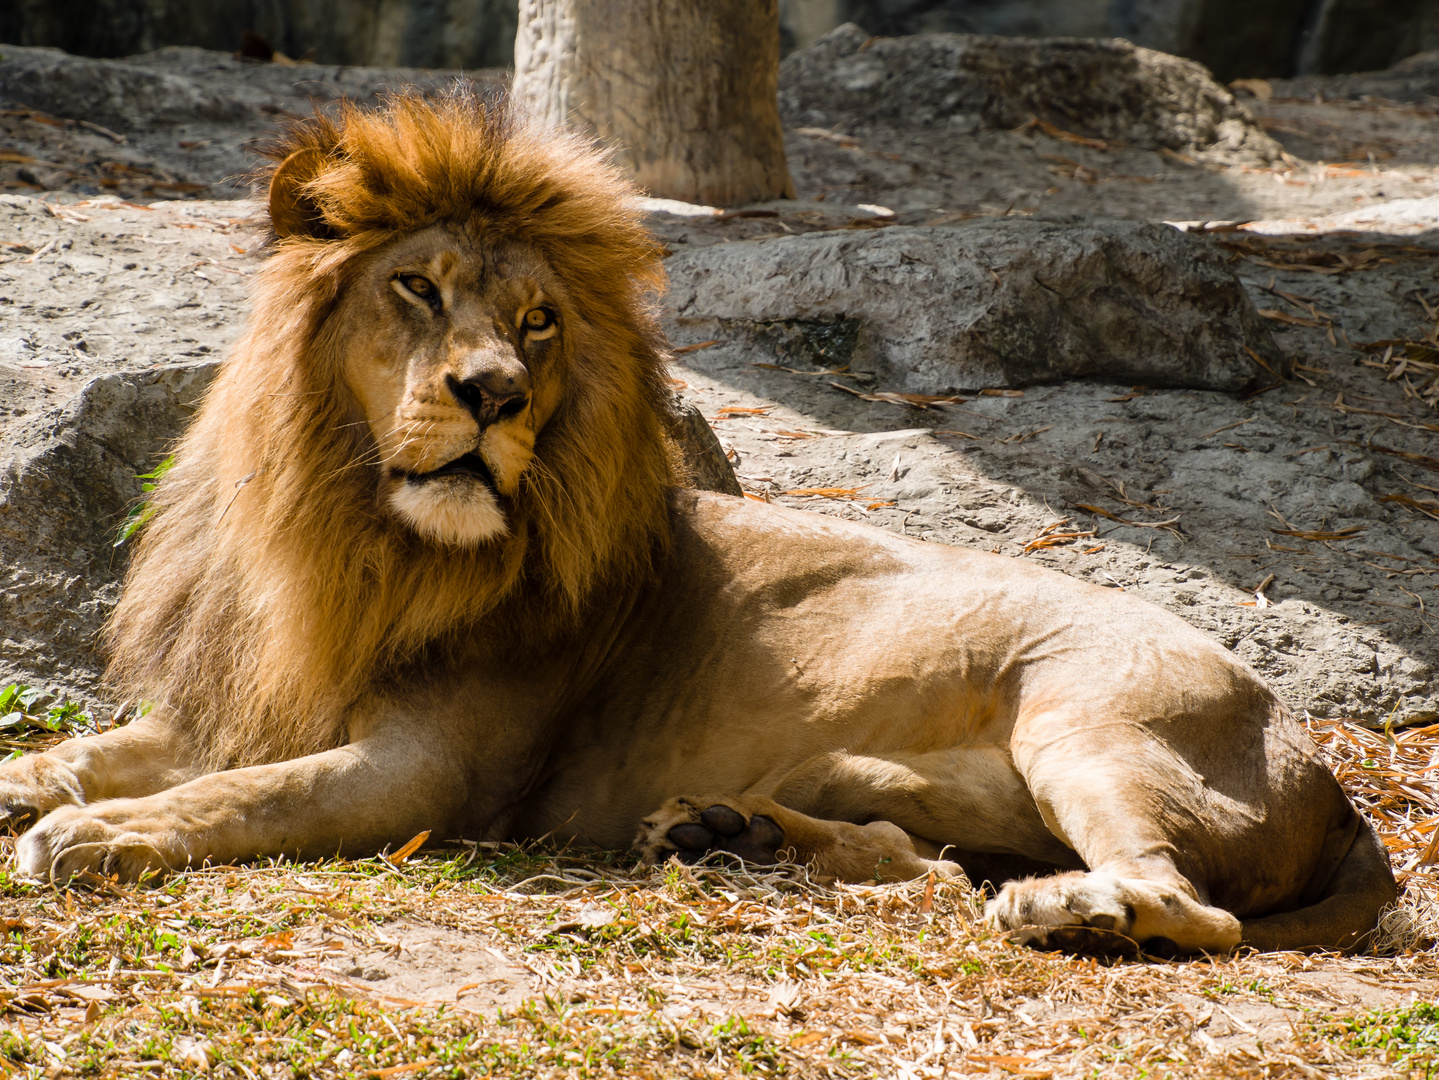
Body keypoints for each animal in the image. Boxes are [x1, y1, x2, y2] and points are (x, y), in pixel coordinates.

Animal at [0, 90, 1392, 954]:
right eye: (416, 288)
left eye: (538, 322)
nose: (493, 392)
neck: (343, 529)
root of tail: (1331, 783)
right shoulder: (235, 702)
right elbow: (97, 753)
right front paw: (49, 790)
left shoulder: (432, 774)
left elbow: (242, 801)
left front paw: (99, 834)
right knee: (926, 855)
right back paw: (735, 830)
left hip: (1090, 723)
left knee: (1183, 905)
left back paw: (1063, 911)